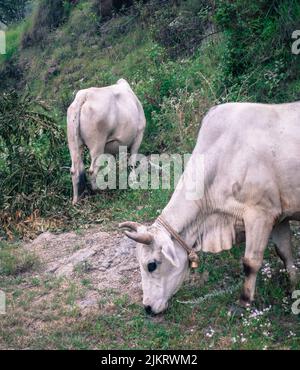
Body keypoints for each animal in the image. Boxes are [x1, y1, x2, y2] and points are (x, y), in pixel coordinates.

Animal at [120, 101, 300, 316]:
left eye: (151, 265)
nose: (147, 307)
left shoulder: (260, 214)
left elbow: (251, 262)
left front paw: (244, 302)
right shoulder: (279, 216)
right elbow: (285, 252)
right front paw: (293, 288)